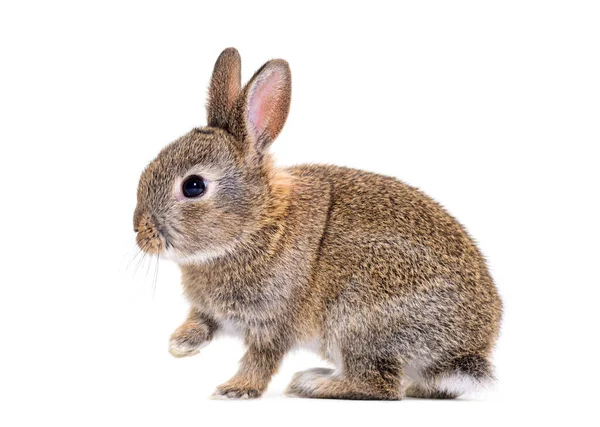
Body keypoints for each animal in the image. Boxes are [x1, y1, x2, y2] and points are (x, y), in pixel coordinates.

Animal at [135, 47, 502, 402]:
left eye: (193, 186)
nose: (140, 233)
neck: (258, 224)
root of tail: (468, 351)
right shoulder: (212, 312)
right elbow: (201, 322)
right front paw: (179, 345)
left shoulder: (273, 322)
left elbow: (261, 359)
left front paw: (235, 389)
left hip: (357, 320)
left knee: (380, 385)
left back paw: (312, 384)